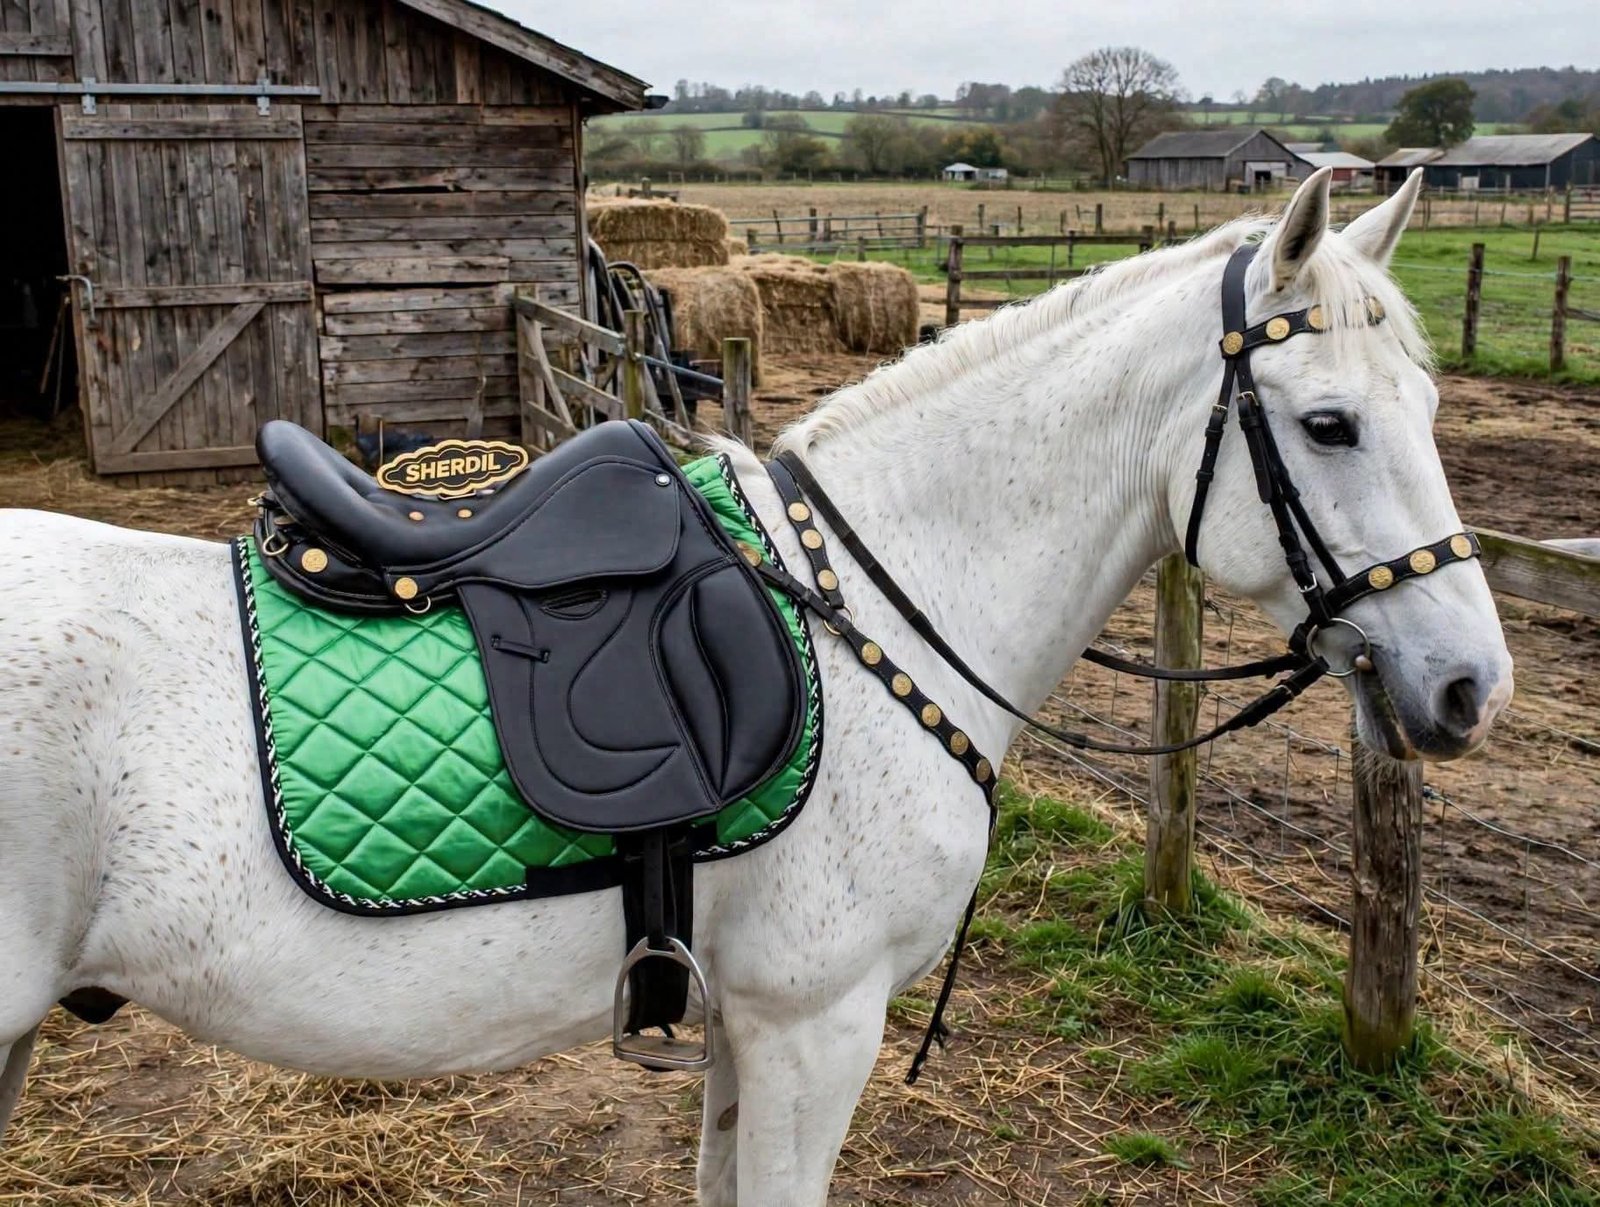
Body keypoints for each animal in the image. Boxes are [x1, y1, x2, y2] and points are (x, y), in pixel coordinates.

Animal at [0, 167, 1511, 1204]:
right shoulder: (811, 1022)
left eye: (1434, 411)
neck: (878, 601)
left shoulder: (740, 1025)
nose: (1469, 686)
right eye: (1329, 423)